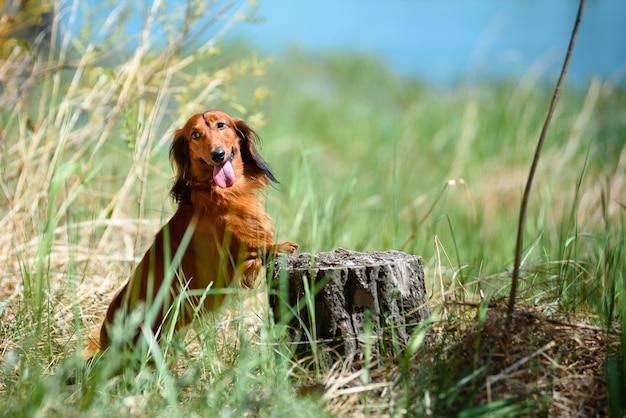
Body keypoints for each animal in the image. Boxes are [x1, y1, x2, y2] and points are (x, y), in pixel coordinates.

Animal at [93, 109, 298, 354]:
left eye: (221, 125)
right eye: (195, 135)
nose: (218, 155)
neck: (220, 193)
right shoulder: (230, 253)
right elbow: (256, 247)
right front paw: (281, 246)